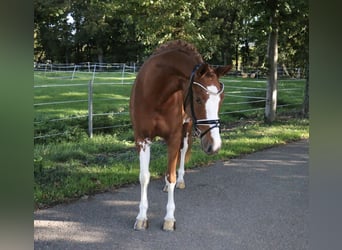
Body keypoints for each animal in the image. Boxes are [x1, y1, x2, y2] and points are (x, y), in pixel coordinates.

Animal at [130, 39, 231, 230]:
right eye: (198, 99)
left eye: (221, 100)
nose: (214, 146)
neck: (155, 94)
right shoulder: (142, 139)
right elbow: (144, 177)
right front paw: (141, 217)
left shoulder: (174, 137)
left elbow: (172, 177)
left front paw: (169, 218)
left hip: (185, 130)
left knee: (182, 153)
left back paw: (181, 180)